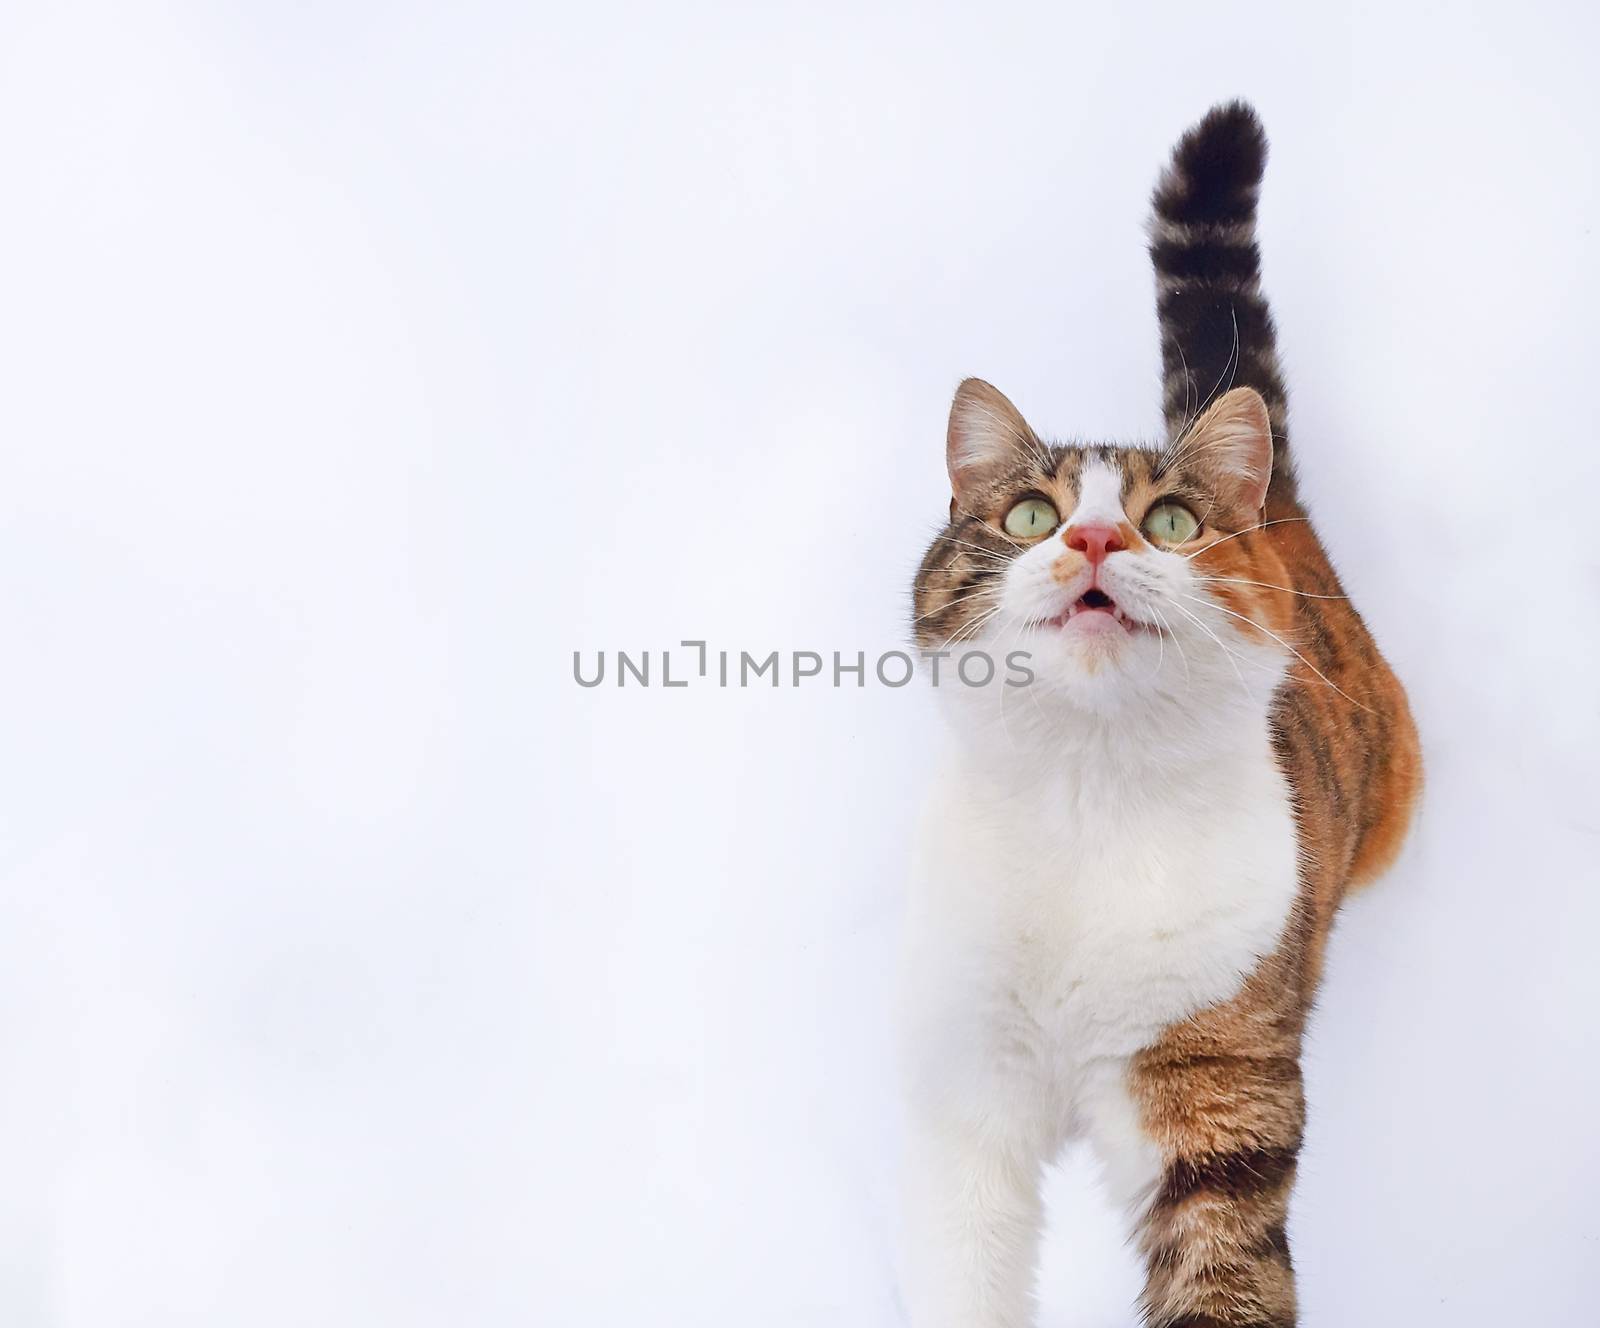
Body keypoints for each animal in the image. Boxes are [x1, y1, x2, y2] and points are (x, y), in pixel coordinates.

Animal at [908, 101, 1420, 1328]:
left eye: (1175, 521)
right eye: (1030, 513)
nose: (1095, 537)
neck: (1083, 796)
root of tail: (1282, 513)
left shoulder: (1219, 1092)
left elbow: (1224, 1268)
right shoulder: (964, 1091)